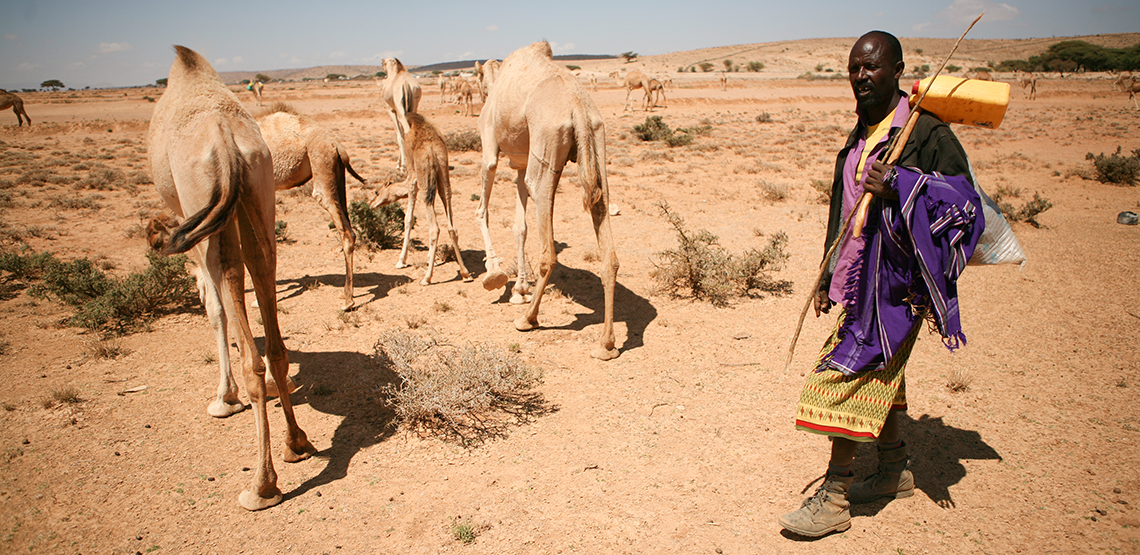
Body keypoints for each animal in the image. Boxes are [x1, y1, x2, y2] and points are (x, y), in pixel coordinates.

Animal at [147, 45, 315, 511]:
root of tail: (223, 138)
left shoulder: (194, 229)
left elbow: (213, 308)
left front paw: (223, 398)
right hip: (258, 193)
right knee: (265, 281)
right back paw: (296, 442)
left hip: (209, 210)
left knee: (236, 302)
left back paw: (262, 484)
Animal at [256, 102, 367, 311]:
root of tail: (337, 146)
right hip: (337, 174)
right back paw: (348, 294)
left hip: (320, 161)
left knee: (344, 229)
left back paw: (348, 301)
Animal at [368, 112, 472, 285]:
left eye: (376, 192)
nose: (371, 204)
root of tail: (433, 151)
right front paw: (431, 258)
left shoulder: (412, 177)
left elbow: (408, 218)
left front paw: (401, 261)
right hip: (443, 177)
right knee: (452, 226)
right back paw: (465, 273)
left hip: (425, 179)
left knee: (434, 228)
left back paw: (427, 278)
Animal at [475, 41, 620, 360]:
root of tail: (578, 106)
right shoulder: (519, 163)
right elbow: (520, 227)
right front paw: (518, 289)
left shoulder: (489, 145)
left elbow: (482, 210)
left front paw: (494, 276)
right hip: (597, 141)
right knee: (607, 243)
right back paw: (606, 345)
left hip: (547, 141)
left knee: (548, 249)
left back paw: (528, 319)